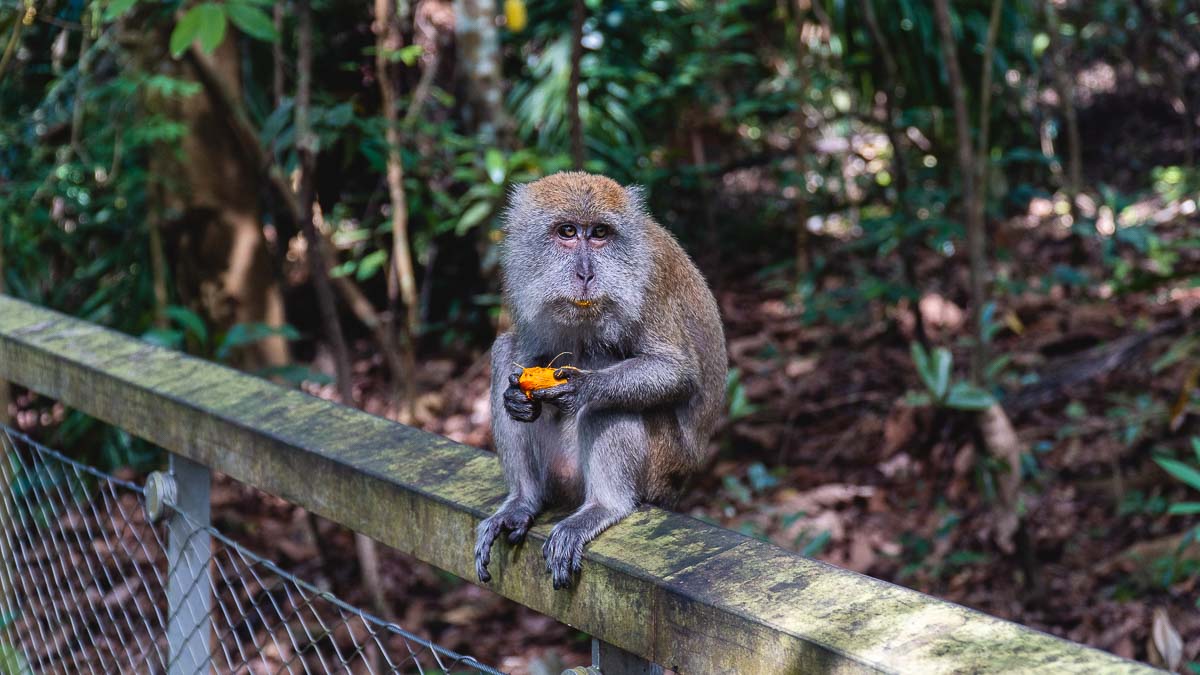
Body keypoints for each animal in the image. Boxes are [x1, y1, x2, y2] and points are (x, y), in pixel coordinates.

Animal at [472, 170, 724, 586]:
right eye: (568, 231)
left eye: (600, 233)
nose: (586, 274)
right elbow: (524, 359)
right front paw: (516, 400)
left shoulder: (647, 282)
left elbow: (676, 371)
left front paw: (582, 387)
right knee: (505, 350)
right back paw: (523, 501)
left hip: (661, 470)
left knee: (606, 400)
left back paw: (604, 506)